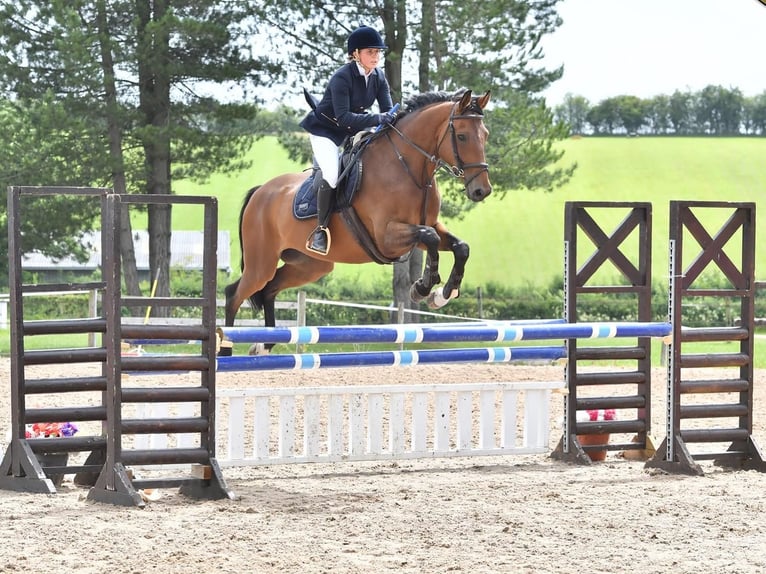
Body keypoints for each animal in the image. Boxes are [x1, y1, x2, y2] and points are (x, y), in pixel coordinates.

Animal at [225, 89, 496, 356]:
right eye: (461, 136)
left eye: (485, 135)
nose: (481, 191)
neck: (409, 168)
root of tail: (261, 191)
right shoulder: (387, 237)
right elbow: (430, 236)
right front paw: (422, 287)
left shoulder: (424, 227)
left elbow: (459, 246)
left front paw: (443, 294)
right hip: (262, 263)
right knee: (234, 294)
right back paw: (226, 348)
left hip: (309, 265)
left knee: (270, 289)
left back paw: (264, 344)